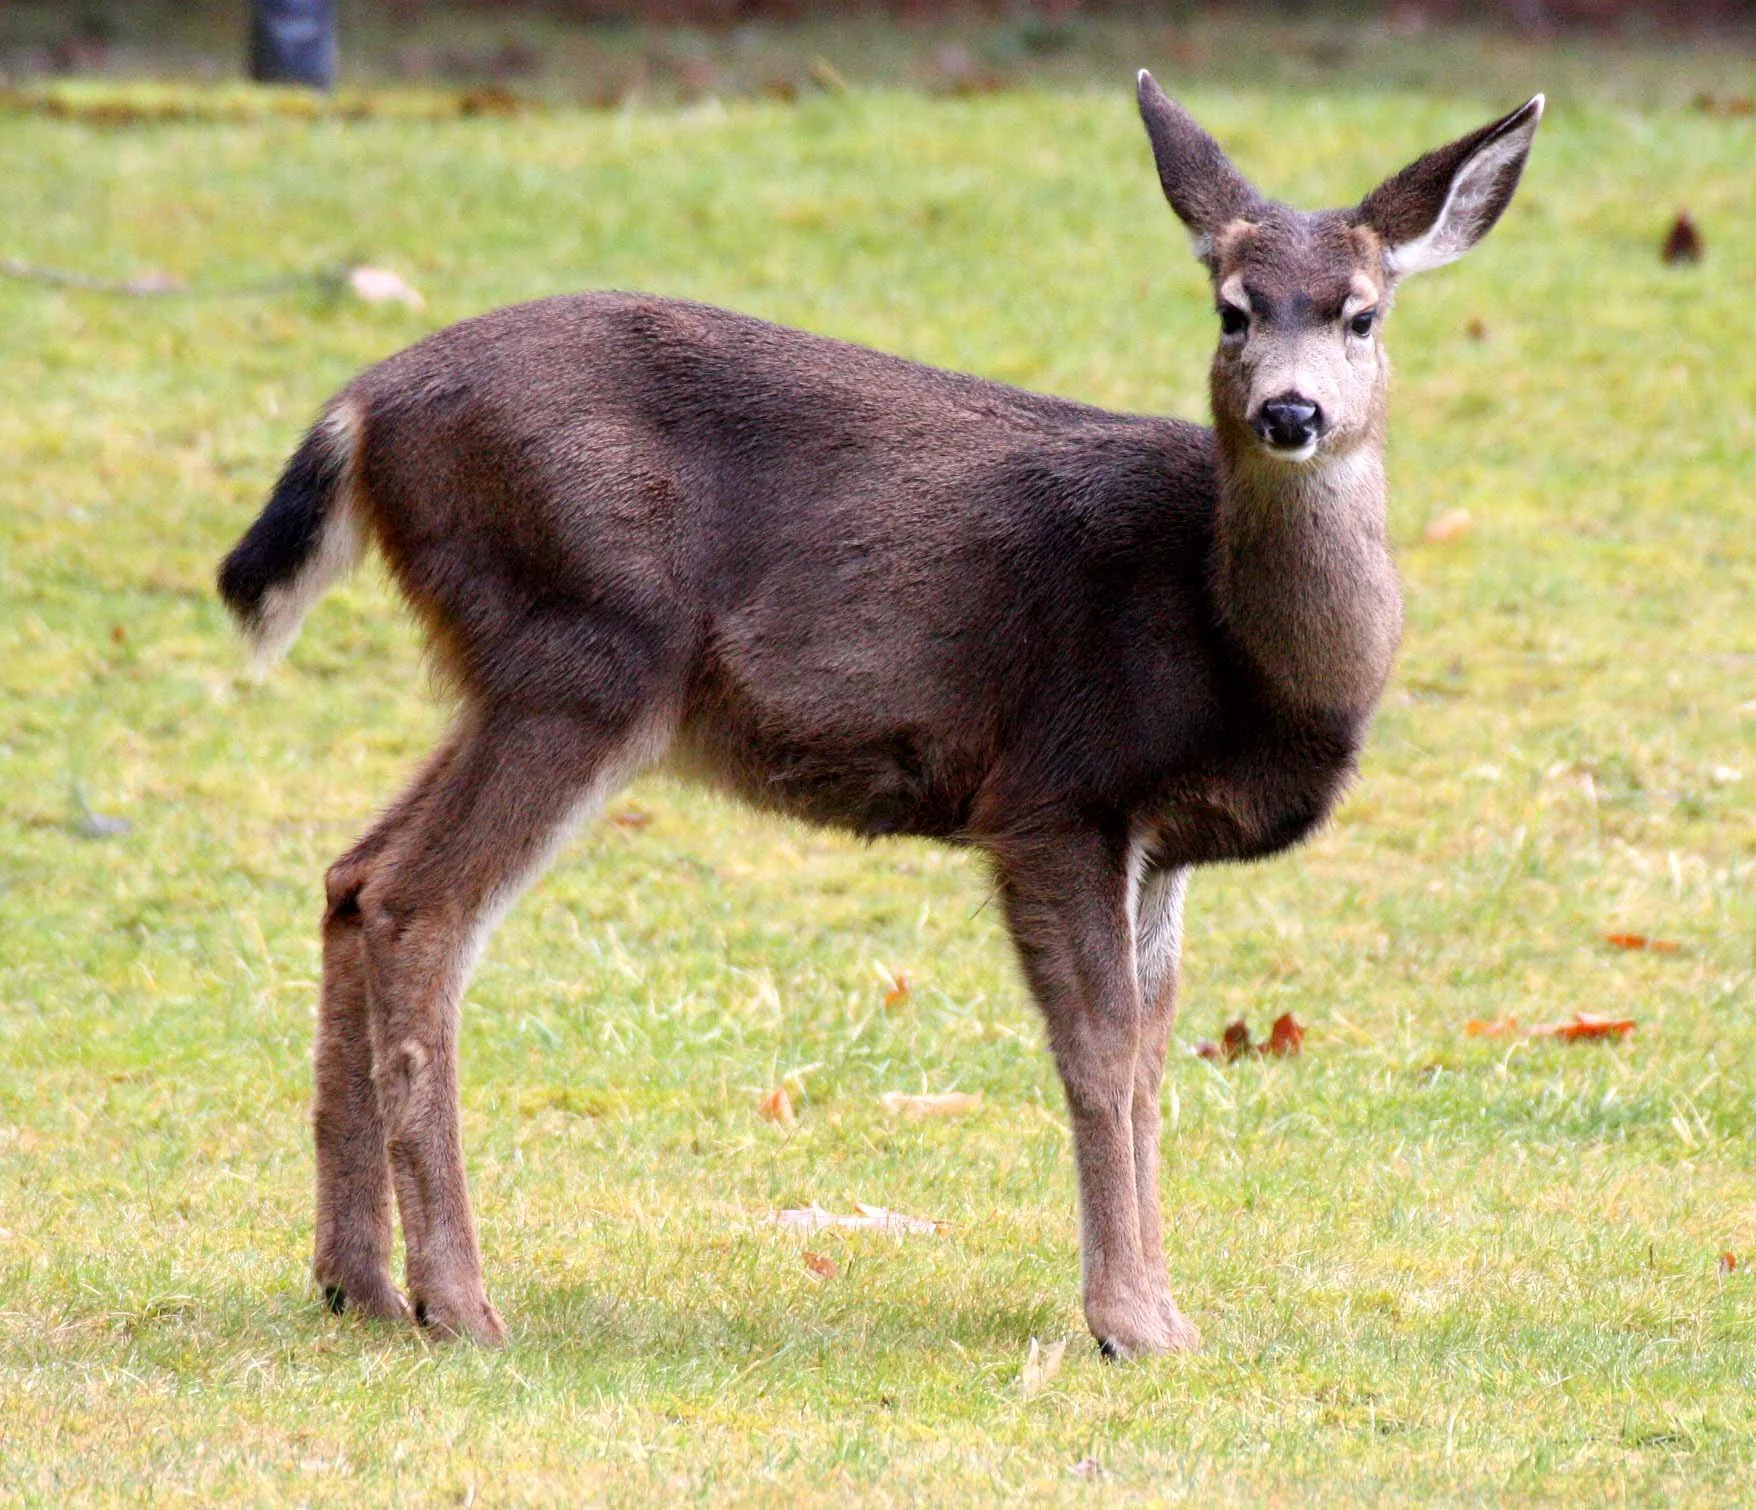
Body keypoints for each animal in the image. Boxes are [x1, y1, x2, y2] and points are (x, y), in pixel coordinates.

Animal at [217, 74, 1542, 1360]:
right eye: (1230, 309)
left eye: (1361, 314)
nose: (1289, 413)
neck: (1239, 648)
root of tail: (362, 409)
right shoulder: (1055, 785)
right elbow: (1101, 1047)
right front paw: (1125, 1321)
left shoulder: (1158, 838)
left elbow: (1156, 1053)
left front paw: (1169, 1311)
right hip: (582, 649)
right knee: (418, 901)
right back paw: (459, 1304)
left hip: (511, 667)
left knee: (352, 872)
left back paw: (356, 1285)